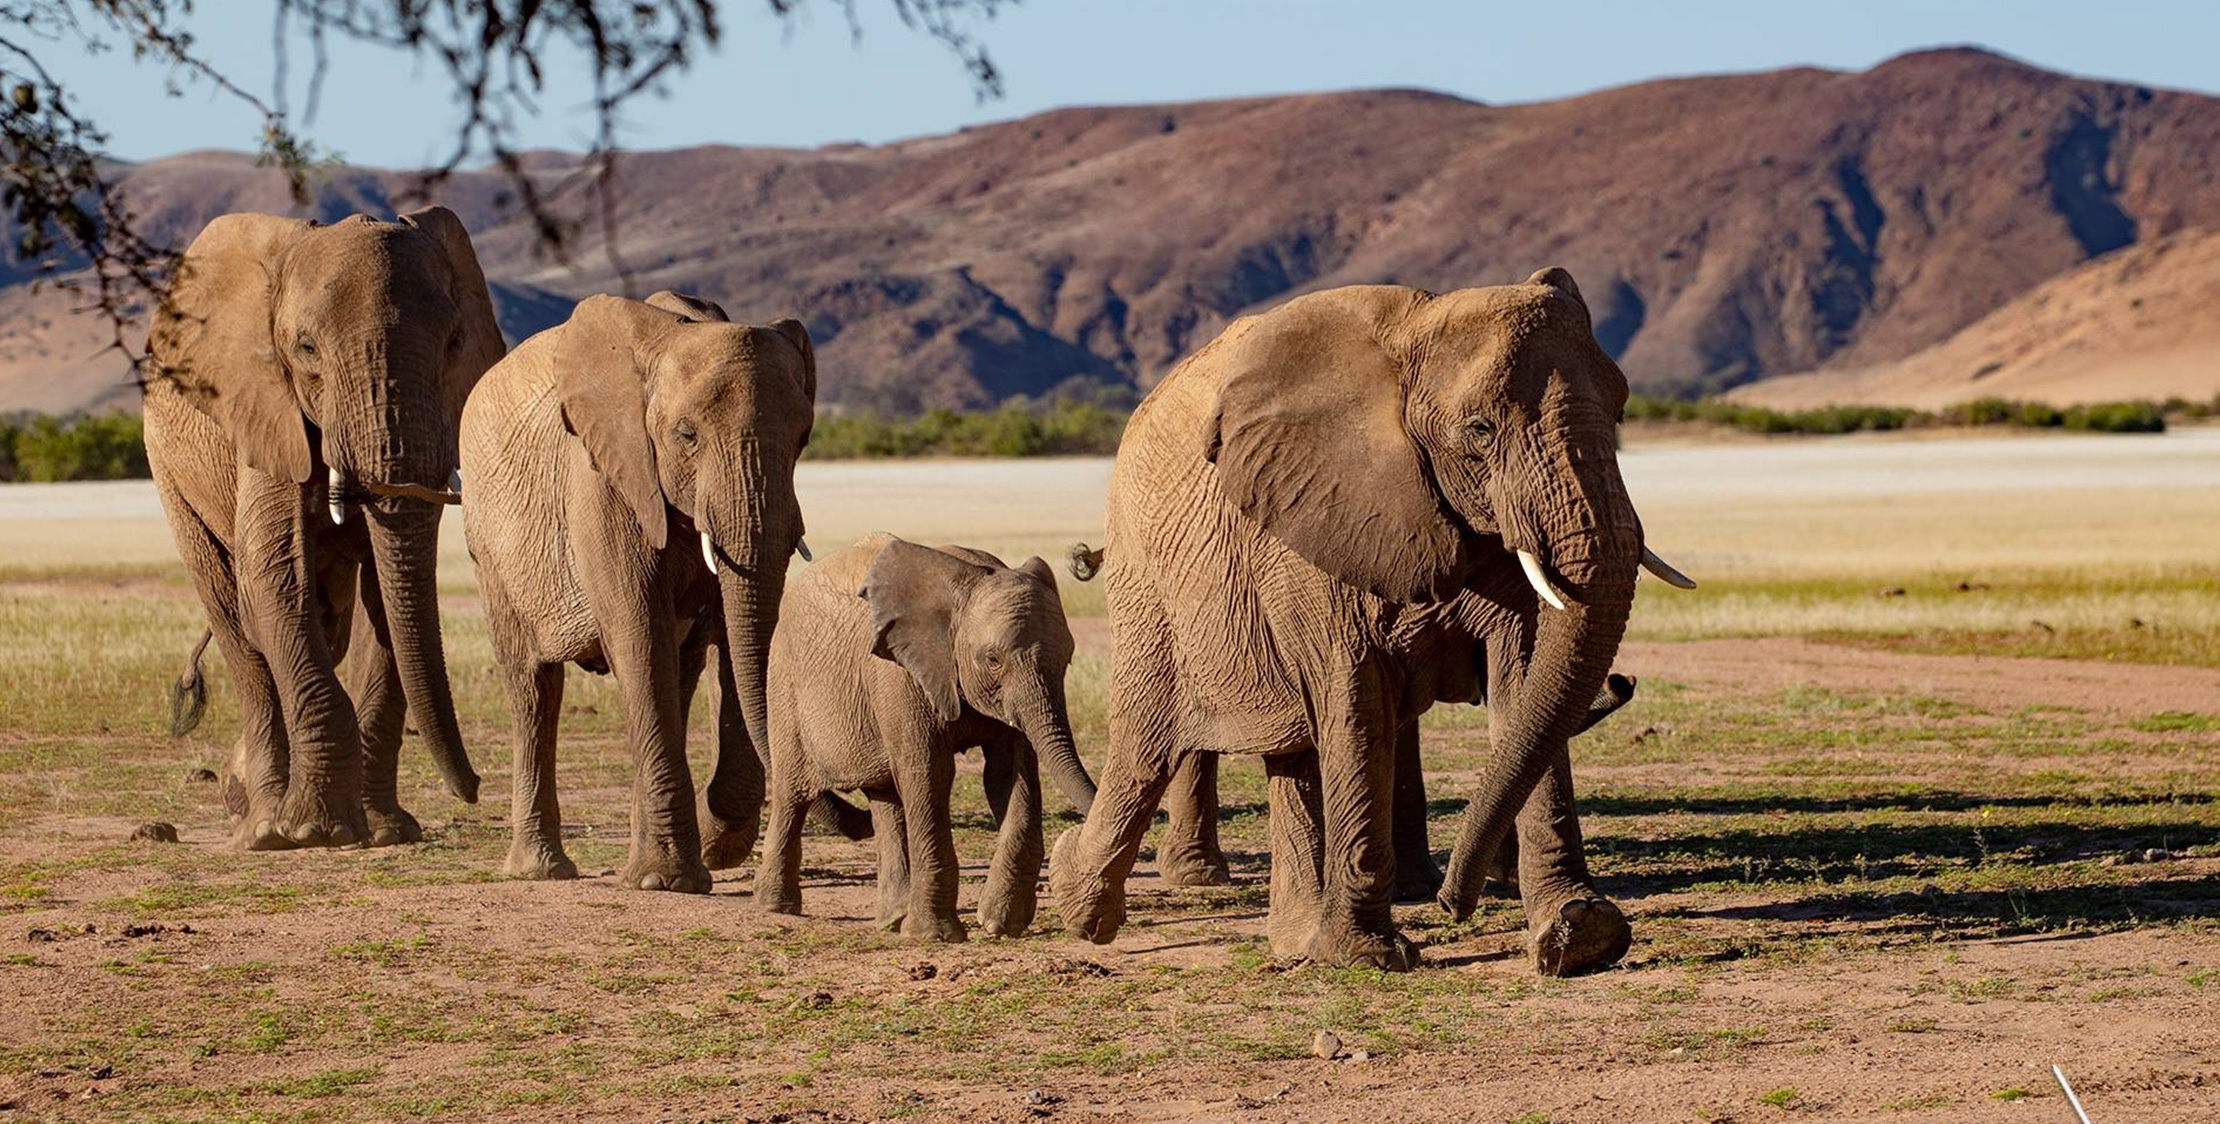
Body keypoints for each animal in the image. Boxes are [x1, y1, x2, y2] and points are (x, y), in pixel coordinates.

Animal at [142, 208, 505, 850]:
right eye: (306, 348)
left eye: (455, 344)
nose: (477, 787)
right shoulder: (263, 409)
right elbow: (275, 579)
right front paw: (317, 830)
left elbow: (389, 600)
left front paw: (384, 831)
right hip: (168, 469)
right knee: (236, 622)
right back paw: (260, 823)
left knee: (329, 626)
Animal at [460, 290, 866, 892]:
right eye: (686, 435)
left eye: (804, 438)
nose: (861, 817)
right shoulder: (603, 475)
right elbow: (638, 634)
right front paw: (669, 881)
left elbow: (723, 635)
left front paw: (704, 854)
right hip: (489, 543)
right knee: (534, 686)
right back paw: (543, 870)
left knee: (678, 671)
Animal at [759, 534, 1098, 941]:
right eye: (993, 660)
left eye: (1068, 658)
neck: (965, 584)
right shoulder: (897, 673)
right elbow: (929, 773)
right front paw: (934, 935)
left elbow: (1009, 775)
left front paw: (1001, 924)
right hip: (784, 679)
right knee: (792, 792)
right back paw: (777, 908)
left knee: (885, 796)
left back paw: (892, 919)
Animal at [1047, 270, 1695, 973]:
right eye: (1480, 429)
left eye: (1622, 410)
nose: (1453, 903)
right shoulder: (1313, 515)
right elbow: (1353, 695)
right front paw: (1368, 957)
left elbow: (1527, 677)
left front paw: (1579, 935)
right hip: (1149, 580)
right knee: (1147, 741)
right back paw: (1078, 901)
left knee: (1290, 751)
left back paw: (1295, 938)